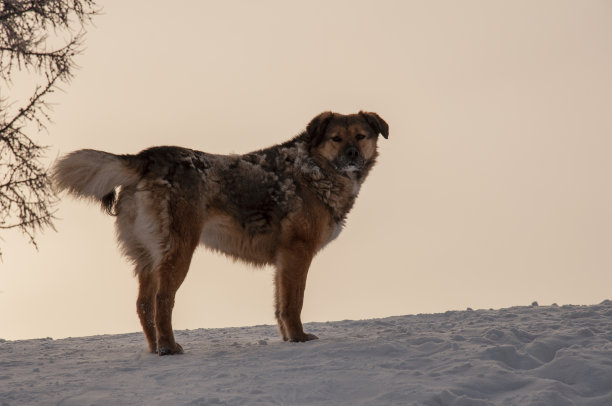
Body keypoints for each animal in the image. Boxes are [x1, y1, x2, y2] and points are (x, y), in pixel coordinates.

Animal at [52, 111, 388, 356]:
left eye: (361, 136)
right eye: (336, 138)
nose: (352, 153)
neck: (314, 171)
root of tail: (147, 157)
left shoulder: (283, 260)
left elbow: (280, 305)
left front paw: (287, 339)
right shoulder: (297, 252)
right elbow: (293, 303)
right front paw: (299, 339)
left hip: (147, 256)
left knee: (143, 304)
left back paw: (154, 348)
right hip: (180, 250)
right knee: (163, 300)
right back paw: (169, 348)